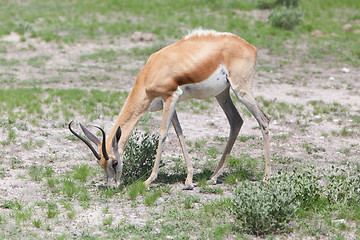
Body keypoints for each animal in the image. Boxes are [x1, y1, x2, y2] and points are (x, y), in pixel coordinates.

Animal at [69, 28, 270, 189]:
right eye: (101, 164)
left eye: (114, 162)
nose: (112, 186)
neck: (149, 74)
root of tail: (250, 47)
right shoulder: (170, 103)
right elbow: (179, 133)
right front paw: (189, 180)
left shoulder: (170, 97)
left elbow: (163, 134)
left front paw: (149, 180)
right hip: (222, 94)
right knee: (236, 121)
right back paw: (213, 177)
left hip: (241, 90)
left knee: (264, 119)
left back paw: (266, 176)